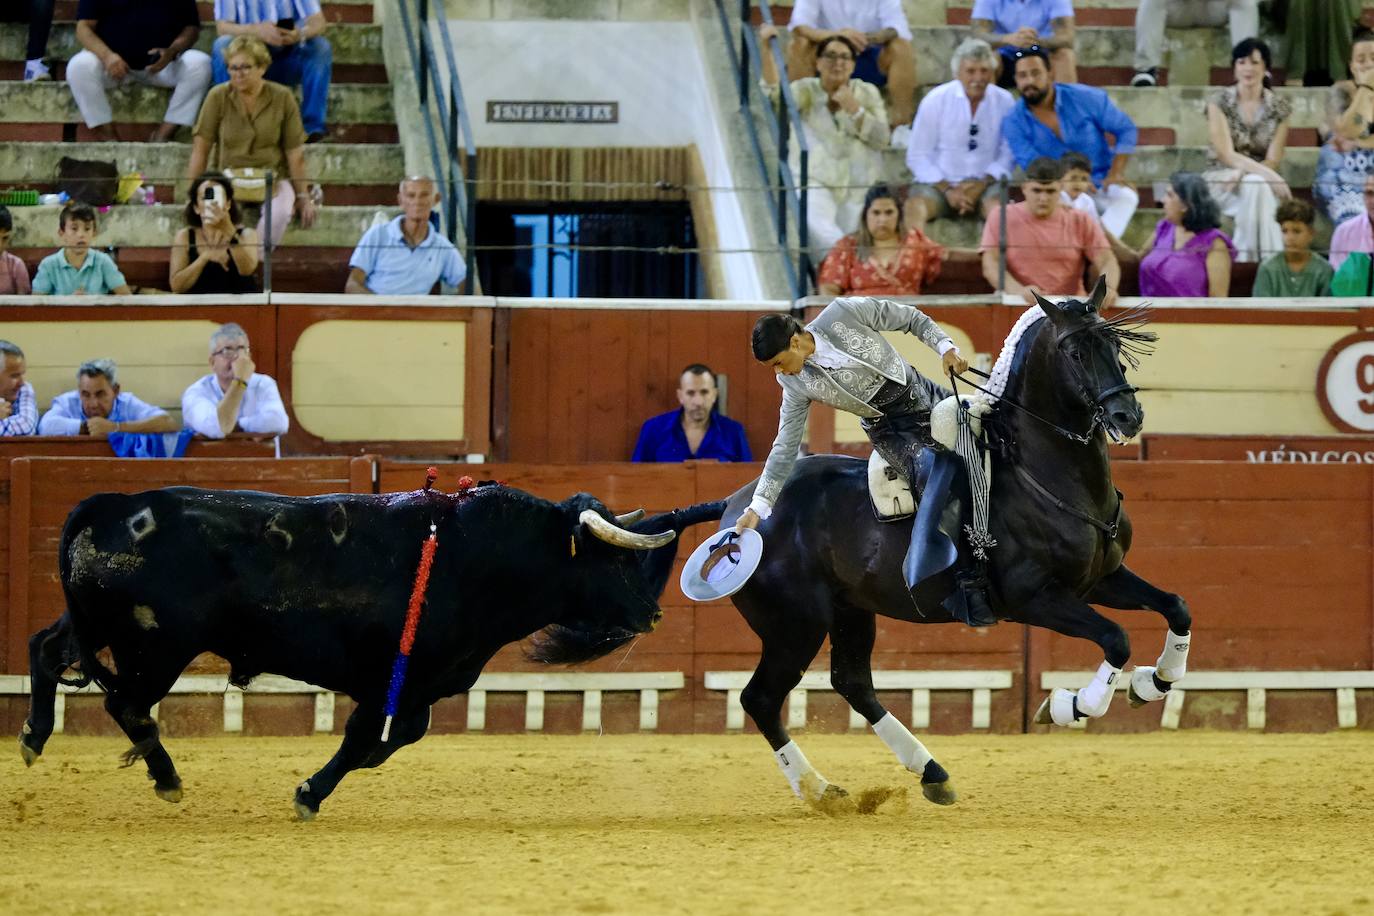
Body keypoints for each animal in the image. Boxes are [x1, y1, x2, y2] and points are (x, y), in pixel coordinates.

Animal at [21, 483, 725, 818]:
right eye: (609, 560)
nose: (653, 612)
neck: (486, 558)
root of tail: (114, 505)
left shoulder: (419, 686)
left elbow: (394, 738)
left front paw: (333, 779)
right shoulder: (396, 677)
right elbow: (367, 736)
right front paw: (309, 794)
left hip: (100, 625)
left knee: (48, 649)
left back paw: (32, 737)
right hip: (158, 646)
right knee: (128, 706)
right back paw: (165, 777)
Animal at [719, 281, 1192, 807]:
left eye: (1113, 344)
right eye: (1074, 352)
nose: (1127, 416)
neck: (1042, 473)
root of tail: (738, 510)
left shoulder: (1101, 580)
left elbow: (1176, 606)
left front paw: (1155, 682)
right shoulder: (1035, 598)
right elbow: (1116, 638)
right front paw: (1069, 706)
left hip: (849, 611)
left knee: (852, 682)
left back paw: (930, 773)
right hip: (794, 627)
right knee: (761, 697)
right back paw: (821, 789)